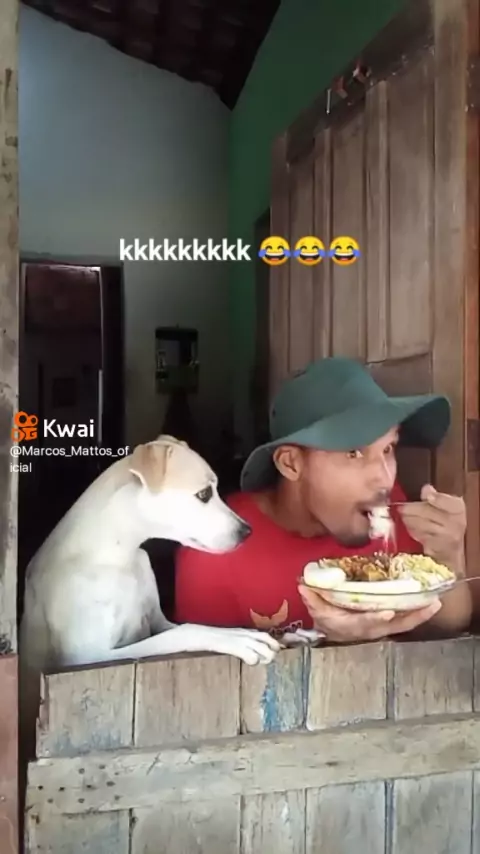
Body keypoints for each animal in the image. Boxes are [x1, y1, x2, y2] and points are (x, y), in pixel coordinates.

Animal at [19, 435, 283, 750]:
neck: (113, 557)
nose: (247, 531)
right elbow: (186, 632)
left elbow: (194, 625)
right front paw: (240, 640)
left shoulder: (158, 621)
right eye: (204, 494)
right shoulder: (87, 657)